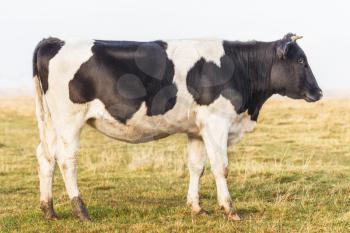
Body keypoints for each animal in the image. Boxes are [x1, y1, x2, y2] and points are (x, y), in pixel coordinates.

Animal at [32, 33, 322, 221]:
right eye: (300, 61)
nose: (318, 92)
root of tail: (55, 41)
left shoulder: (197, 130)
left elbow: (197, 167)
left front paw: (196, 207)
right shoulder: (216, 122)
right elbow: (221, 167)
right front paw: (230, 209)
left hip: (50, 121)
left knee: (46, 156)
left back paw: (49, 210)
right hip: (69, 120)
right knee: (66, 160)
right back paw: (81, 211)